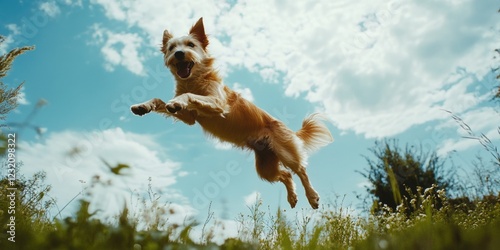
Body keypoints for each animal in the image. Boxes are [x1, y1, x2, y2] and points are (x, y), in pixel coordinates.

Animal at [131, 18, 334, 209]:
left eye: (190, 45)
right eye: (172, 48)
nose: (179, 53)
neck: (194, 81)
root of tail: (288, 129)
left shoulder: (218, 104)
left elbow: (188, 96)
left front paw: (177, 101)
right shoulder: (189, 118)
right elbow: (160, 101)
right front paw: (143, 106)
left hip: (286, 152)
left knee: (301, 170)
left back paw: (312, 196)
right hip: (265, 168)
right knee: (286, 175)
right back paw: (292, 197)